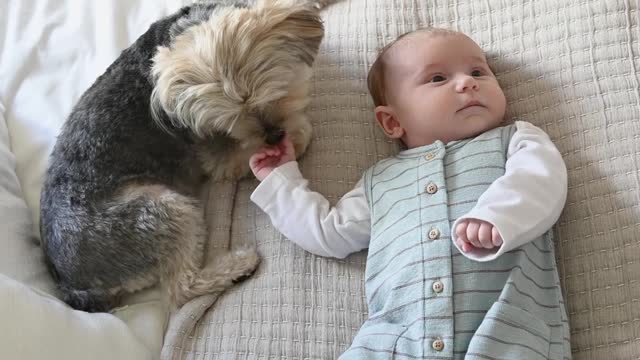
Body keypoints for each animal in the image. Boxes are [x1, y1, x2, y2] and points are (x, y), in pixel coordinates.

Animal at [40, 0, 324, 312]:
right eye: (232, 120)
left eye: (275, 95)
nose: (274, 137)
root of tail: (71, 286)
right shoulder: (214, 154)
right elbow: (243, 155)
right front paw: (294, 139)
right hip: (160, 211)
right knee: (180, 289)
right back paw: (238, 266)